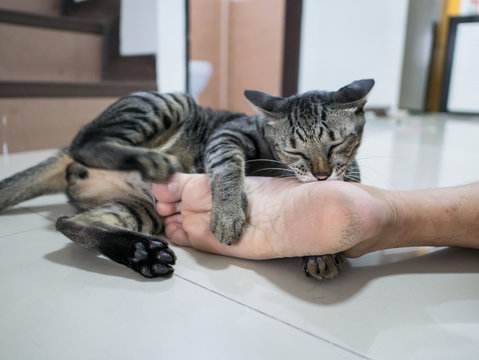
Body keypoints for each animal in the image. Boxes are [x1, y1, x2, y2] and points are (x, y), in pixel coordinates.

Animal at [0, 79, 376, 278]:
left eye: (336, 144)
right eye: (294, 151)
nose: (321, 175)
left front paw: (321, 253)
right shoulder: (227, 135)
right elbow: (226, 168)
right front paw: (227, 214)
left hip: (141, 210)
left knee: (70, 222)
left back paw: (141, 253)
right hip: (169, 102)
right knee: (85, 140)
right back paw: (151, 161)